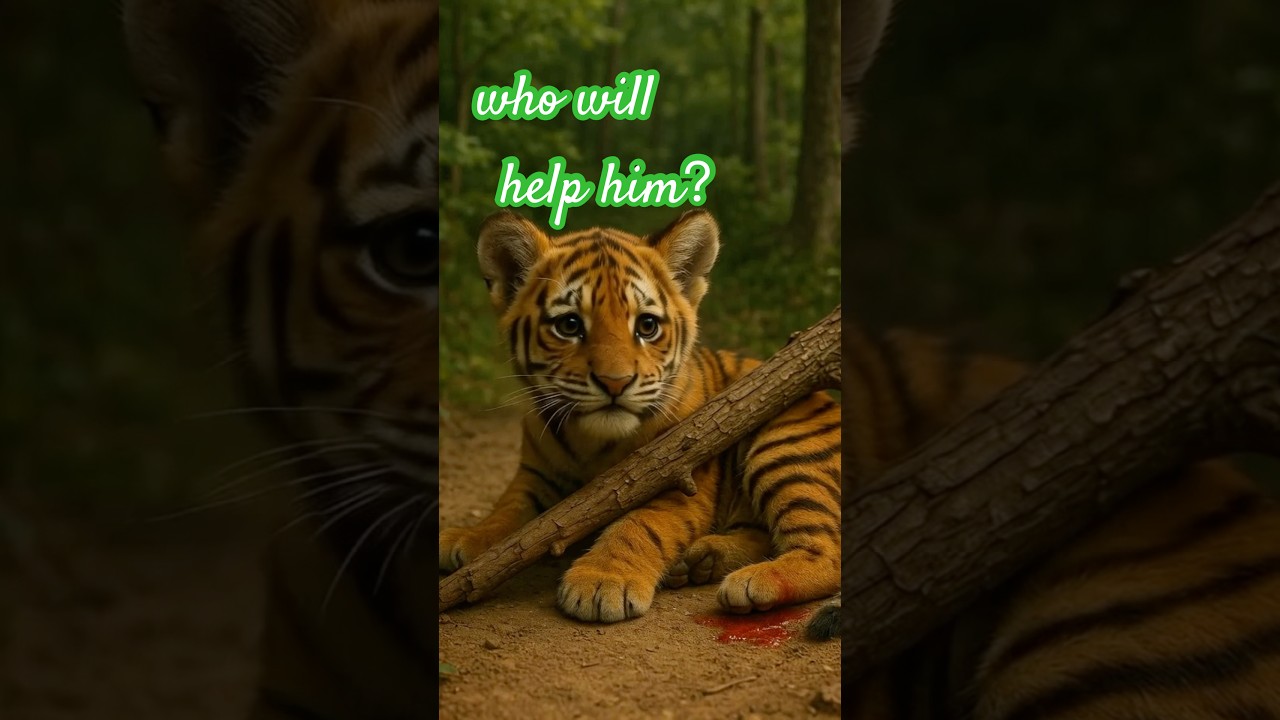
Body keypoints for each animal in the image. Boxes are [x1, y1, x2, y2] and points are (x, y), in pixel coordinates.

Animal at [438, 210, 844, 622]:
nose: (615, 383)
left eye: (647, 326)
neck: (592, 443)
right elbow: (509, 511)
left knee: (831, 553)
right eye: (569, 325)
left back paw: (748, 582)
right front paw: (467, 538)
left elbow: (638, 525)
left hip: (784, 446)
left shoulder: (679, 477)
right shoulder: (536, 474)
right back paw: (701, 560)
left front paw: (601, 581)